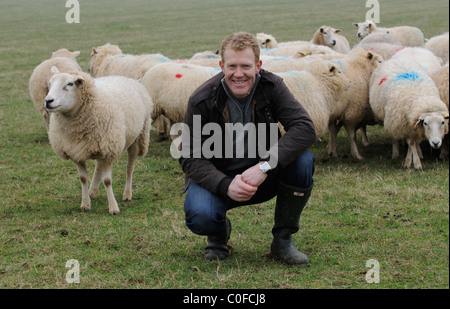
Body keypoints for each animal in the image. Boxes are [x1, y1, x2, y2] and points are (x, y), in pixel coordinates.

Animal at [45, 66, 154, 213]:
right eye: (50, 84)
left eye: (70, 84)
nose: (48, 101)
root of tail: (128, 78)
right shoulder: (75, 151)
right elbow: (83, 178)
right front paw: (85, 204)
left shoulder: (109, 150)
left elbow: (107, 180)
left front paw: (113, 208)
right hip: (99, 145)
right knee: (98, 166)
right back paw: (92, 191)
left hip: (137, 137)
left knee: (129, 167)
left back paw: (127, 194)